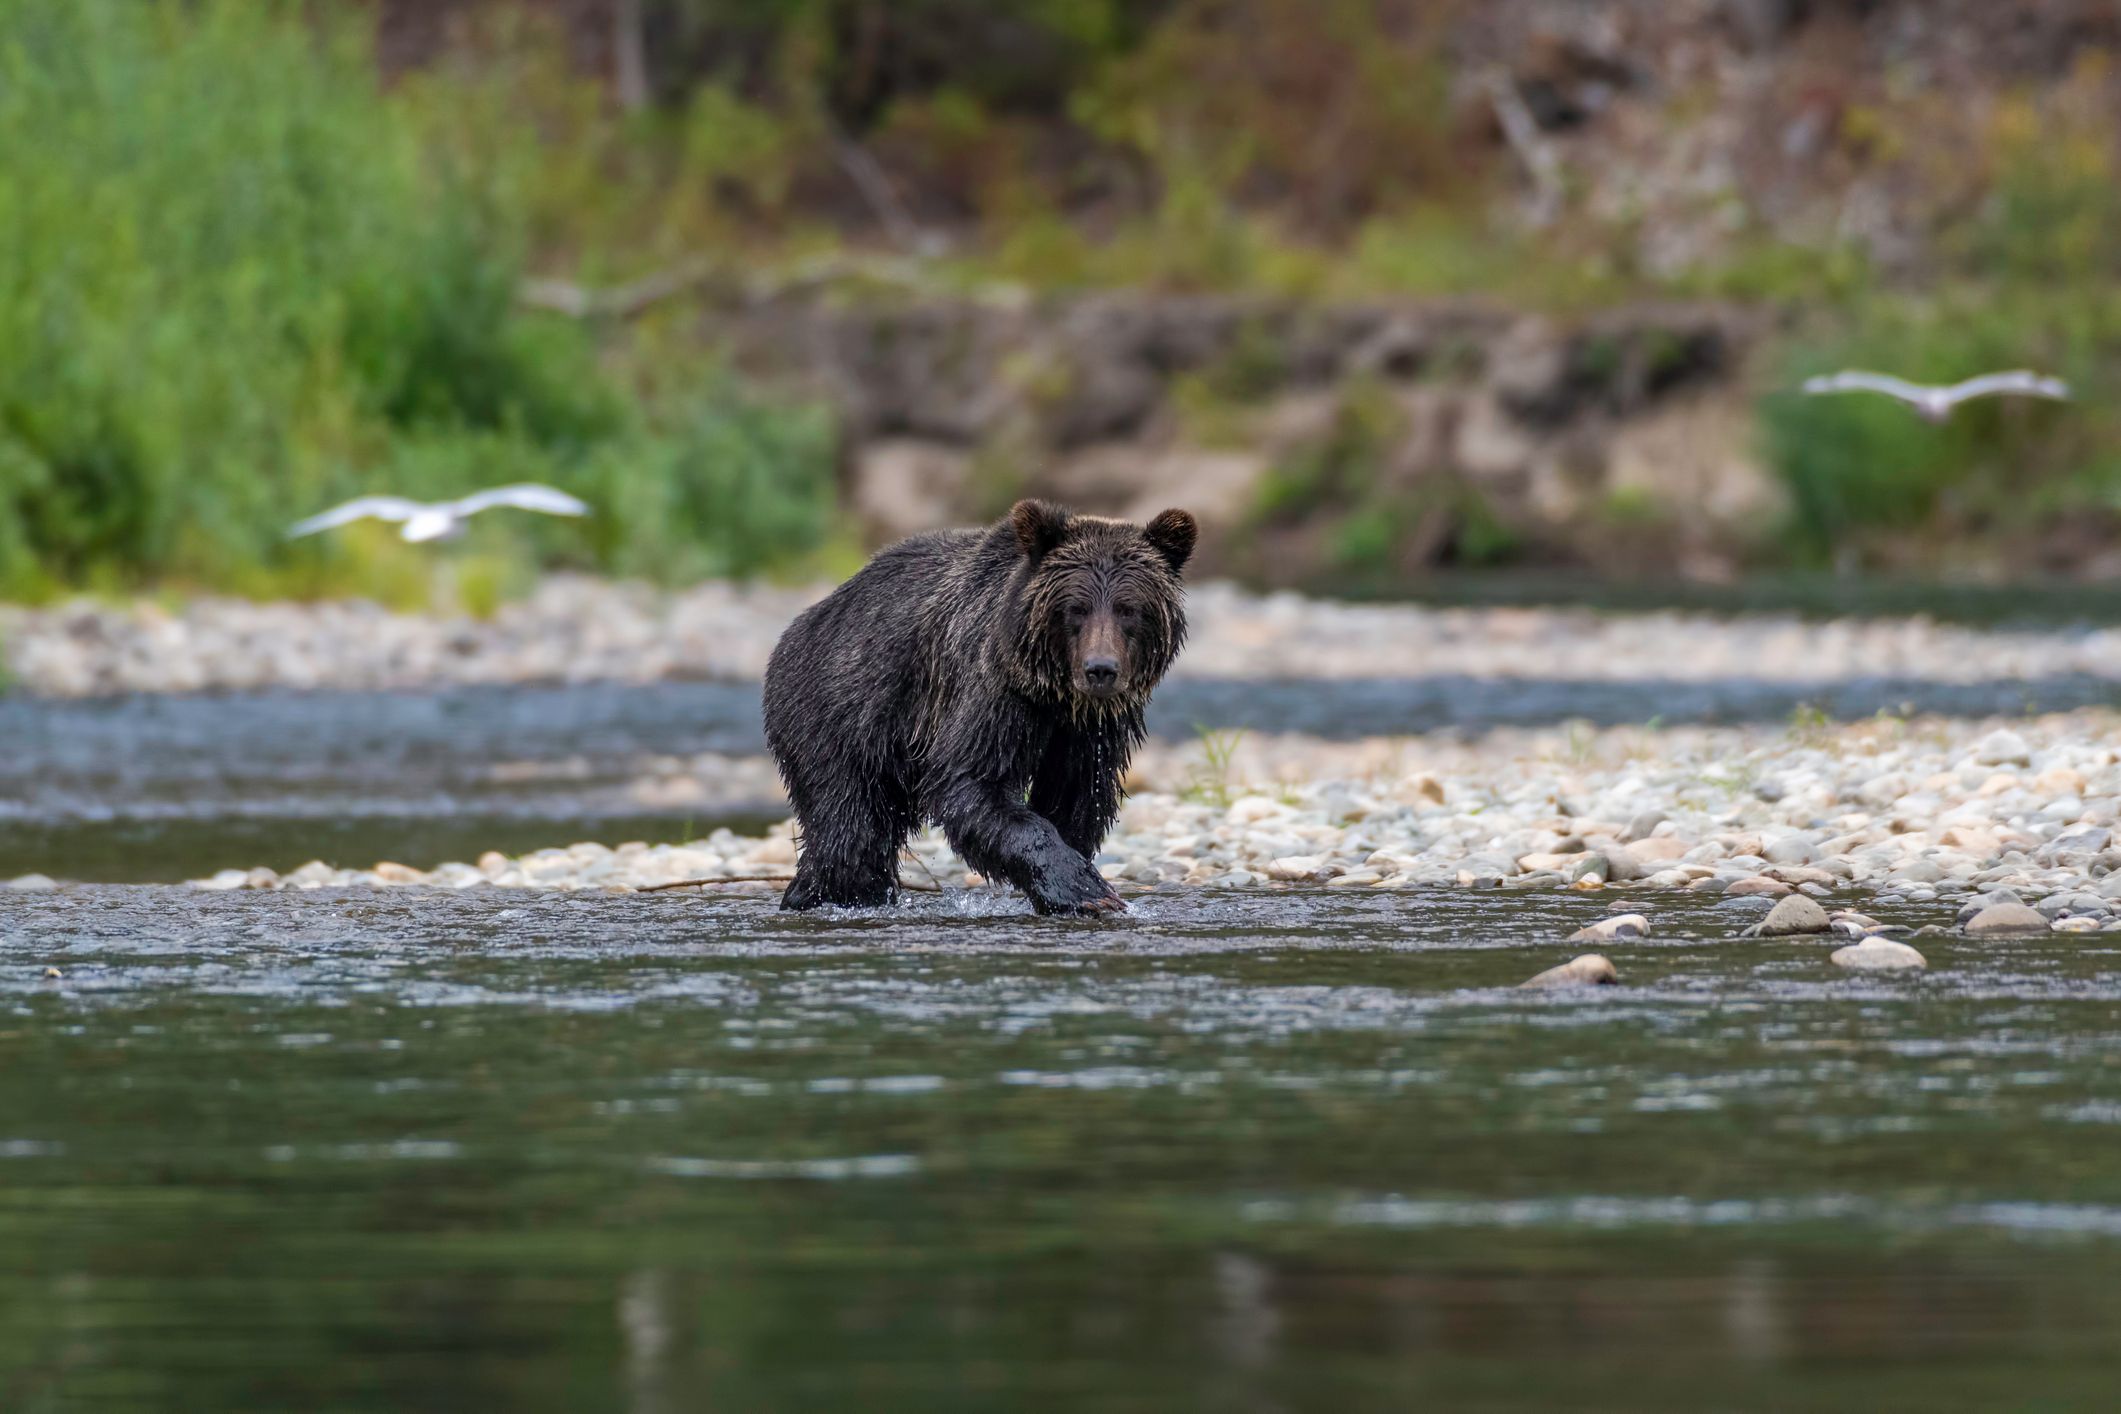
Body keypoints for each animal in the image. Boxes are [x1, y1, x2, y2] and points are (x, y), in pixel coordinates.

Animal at [762, 499, 1198, 915]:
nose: (1100, 669)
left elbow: (1075, 798)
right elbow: (971, 781)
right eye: (1076, 607)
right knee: (849, 833)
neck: (1055, 696)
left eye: (1129, 608)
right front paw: (1087, 891)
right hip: (840, 713)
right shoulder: (992, 690)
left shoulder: (1091, 732)